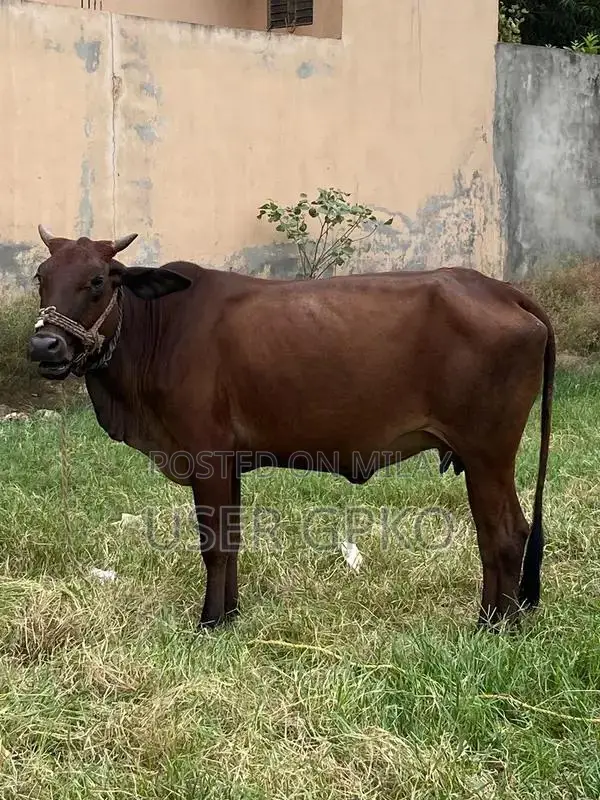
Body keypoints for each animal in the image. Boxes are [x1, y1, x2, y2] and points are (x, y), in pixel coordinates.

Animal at [28, 226, 555, 632]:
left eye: (98, 280)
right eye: (41, 278)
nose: (44, 345)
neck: (159, 327)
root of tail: (499, 289)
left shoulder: (206, 457)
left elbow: (214, 546)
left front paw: (209, 622)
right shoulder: (229, 464)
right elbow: (233, 541)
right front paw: (231, 614)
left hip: (488, 452)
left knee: (505, 534)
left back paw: (495, 627)